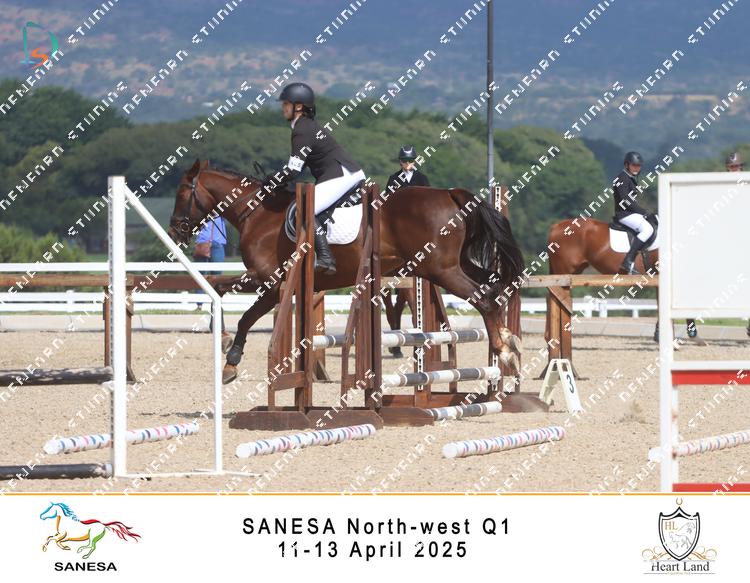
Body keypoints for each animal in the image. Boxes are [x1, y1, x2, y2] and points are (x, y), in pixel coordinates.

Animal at [168, 159, 524, 384]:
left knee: (486, 299)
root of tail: (450, 194)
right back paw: (509, 343)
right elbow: (221, 288)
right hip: (453, 265)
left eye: (182, 193)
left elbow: (239, 310)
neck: (257, 215)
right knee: (496, 289)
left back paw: (504, 351)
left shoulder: (269, 282)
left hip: (440, 269)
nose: (174, 232)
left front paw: (230, 358)